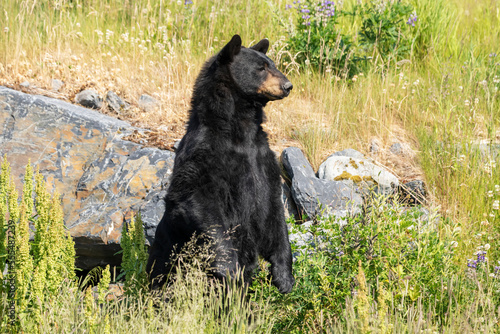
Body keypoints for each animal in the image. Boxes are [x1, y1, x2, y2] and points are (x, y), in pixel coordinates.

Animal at [146, 35, 292, 294]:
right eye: (261, 68)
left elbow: (274, 207)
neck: (240, 130)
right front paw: (229, 267)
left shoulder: (264, 160)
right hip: (167, 266)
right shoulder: (203, 153)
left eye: (273, 64)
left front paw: (283, 276)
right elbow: (197, 198)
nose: (288, 85)